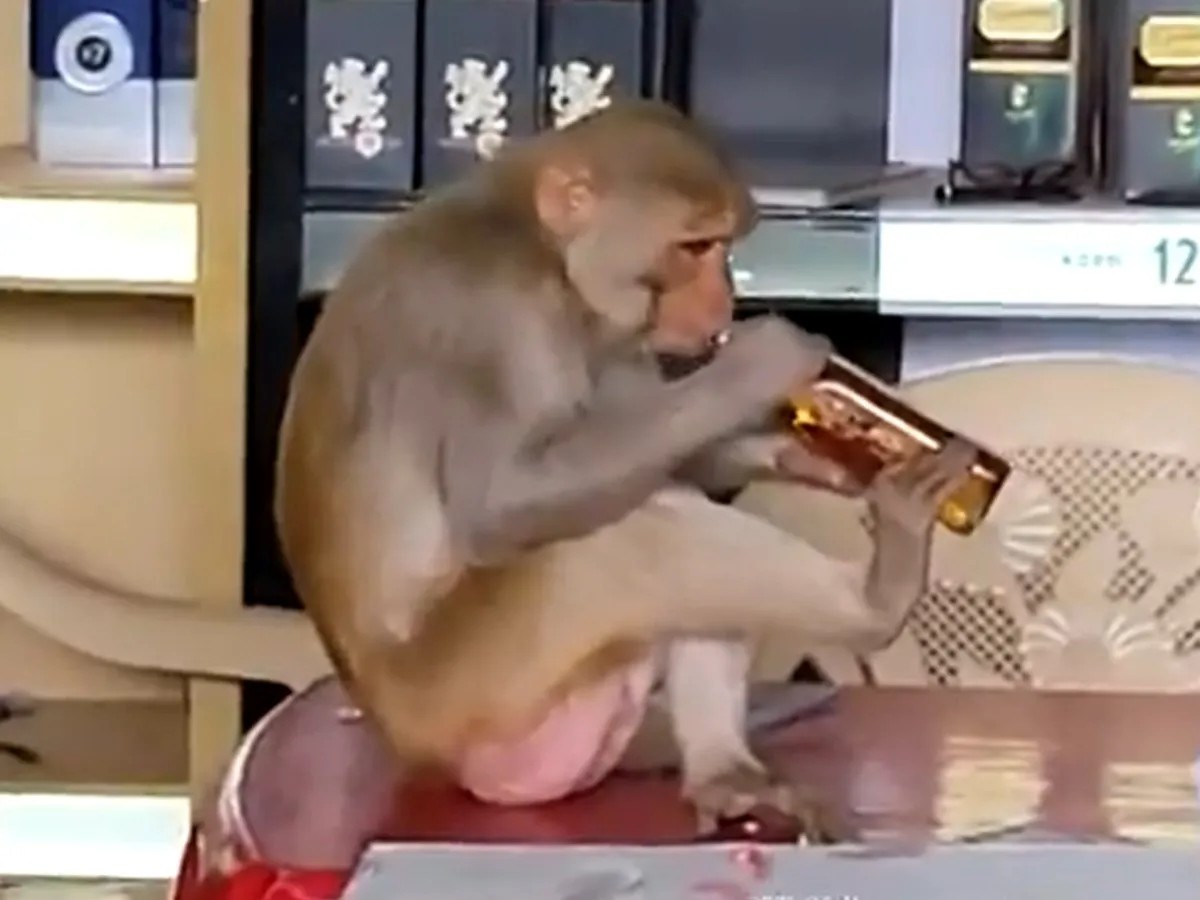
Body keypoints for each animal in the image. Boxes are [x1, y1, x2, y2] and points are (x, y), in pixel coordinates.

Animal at [274, 98, 974, 833]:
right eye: (696, 247)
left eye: (724, 245)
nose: (724, 305)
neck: (541, 247)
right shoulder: (487, 309)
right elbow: (503, 503)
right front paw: (762, 366)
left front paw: (805, 450)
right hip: (473, 693)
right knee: (634, 530)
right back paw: (879, 599)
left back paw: (724, 771)